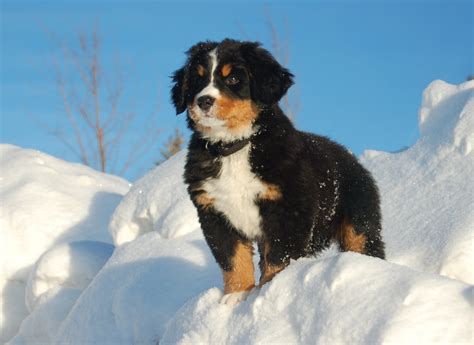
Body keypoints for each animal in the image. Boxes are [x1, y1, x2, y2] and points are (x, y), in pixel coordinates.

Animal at [170, 39, 386, 306]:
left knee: (365, 243)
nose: (203, 101)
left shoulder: (288, 211)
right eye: (198, 80)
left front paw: (268, 291)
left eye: (233, 79)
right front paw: (236, 296)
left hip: (359, 222)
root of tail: (351, 157)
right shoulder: (214, 213)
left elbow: (278, 258)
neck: (234, 148)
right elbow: (233, 259)